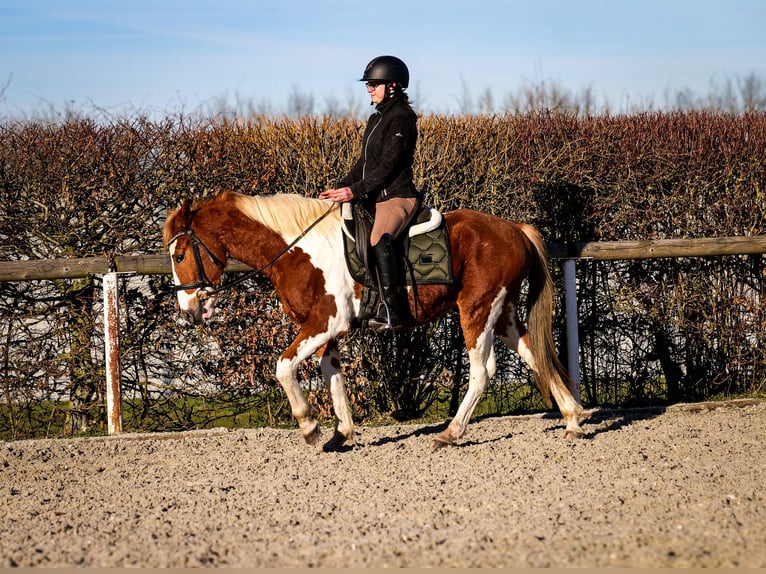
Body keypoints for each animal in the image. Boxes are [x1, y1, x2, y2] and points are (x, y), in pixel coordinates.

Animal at [162, 191, 584, 452]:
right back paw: (572, 420)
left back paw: (450, 433)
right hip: (504, 313)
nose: (189, 309)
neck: (297, 250)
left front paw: (309, 426)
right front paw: (341, 434)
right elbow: (333, 377)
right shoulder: (326, 332)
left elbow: (283, 366)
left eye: (180, 254)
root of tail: (514, 229)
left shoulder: (325, 323)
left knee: (483, 371)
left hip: (478, 308)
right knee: (535, 354)